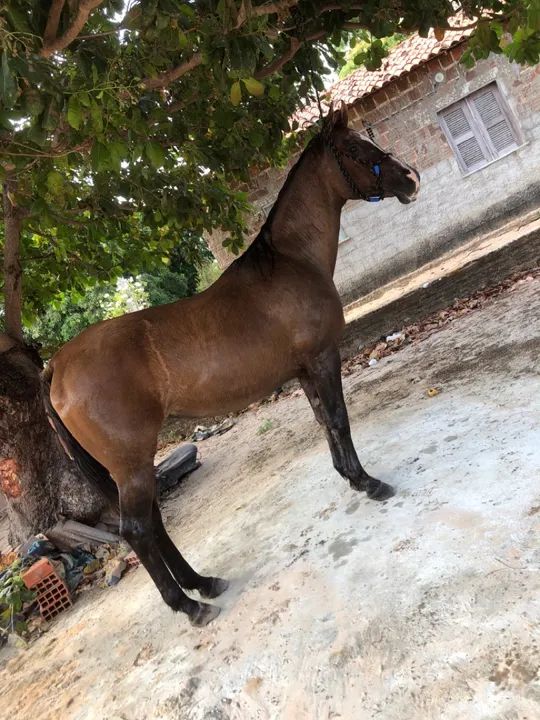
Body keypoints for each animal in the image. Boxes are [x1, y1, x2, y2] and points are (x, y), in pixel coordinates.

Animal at [43, 102, 420, 626]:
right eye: (358, 151)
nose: (410, 179)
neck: (290, 263)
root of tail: (57, 365)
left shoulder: (305, 370)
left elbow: (325, 422)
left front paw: (349, 477)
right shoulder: (324, 359)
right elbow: (340, 419)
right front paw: (369, 483)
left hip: (130, 466)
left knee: (152, 523)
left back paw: (203, 582)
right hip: (131, 462)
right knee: (137, 530)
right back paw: (190, 606)